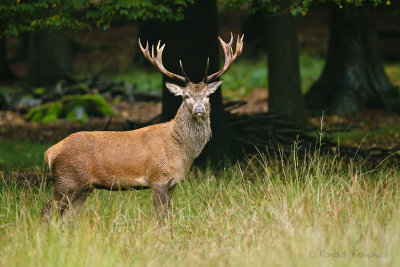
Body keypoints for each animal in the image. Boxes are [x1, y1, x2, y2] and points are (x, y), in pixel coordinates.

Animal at [43, 33, 244, 222]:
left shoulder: (173, 183)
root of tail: (50, 152)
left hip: (83, 188)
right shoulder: (157, 178)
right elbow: (160, 217)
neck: (180, 150)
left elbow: (167, 216)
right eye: (185, 96)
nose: (199, 109)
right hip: (66, 181)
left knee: (66, 218)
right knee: (47, 211)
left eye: (208, 96)